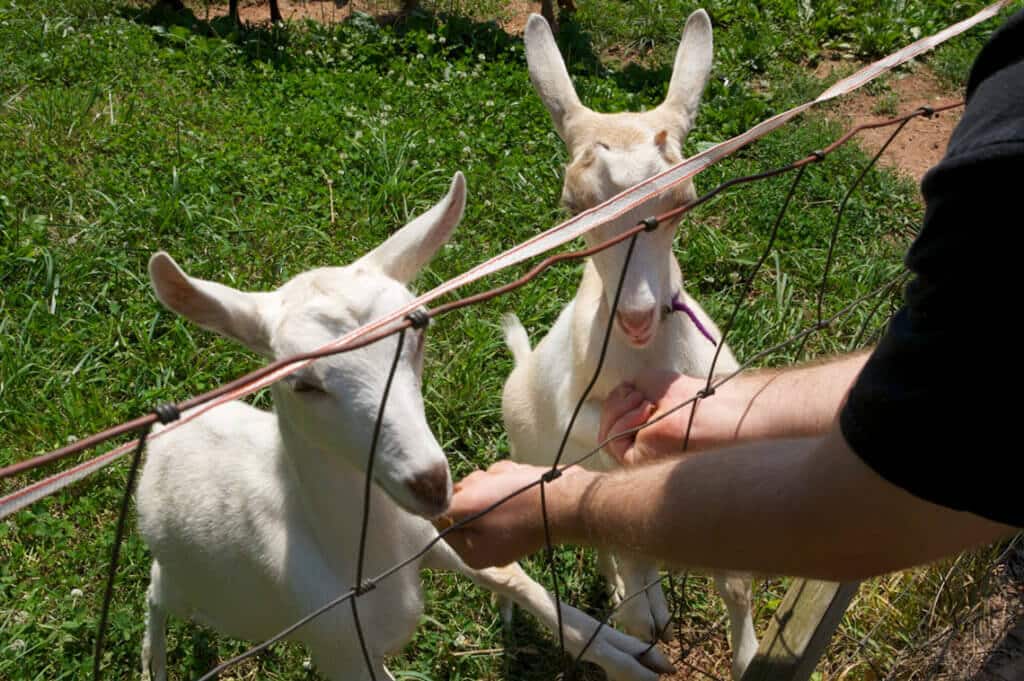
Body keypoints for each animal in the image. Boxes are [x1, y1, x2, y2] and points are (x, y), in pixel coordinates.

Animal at [138, 174, 679, 679]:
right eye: (301, 382)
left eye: (418, 331)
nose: (431, 482)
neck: (369, 562)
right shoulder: (343, 652)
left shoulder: (433, 539)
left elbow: (517, 580)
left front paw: (632, 652)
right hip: (193, 586)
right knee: (157, 592)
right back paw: (154, 663)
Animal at [503, 11, 761, 679]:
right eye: (572, 206)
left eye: (684, 199)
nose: (638, 316)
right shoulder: (581, 423)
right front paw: (645, 615)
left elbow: (736, 577)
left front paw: (749, 655)